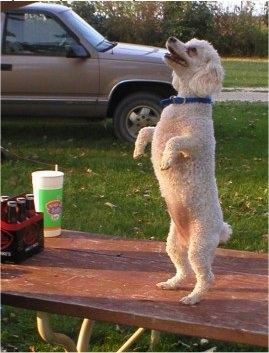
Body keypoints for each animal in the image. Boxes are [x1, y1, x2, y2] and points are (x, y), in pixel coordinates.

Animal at [133, 37, 231, 304]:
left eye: (192, 50)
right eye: (188, 42)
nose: (172, 39)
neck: (186, 102)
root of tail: (220, 229)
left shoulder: (197, 143)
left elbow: (174, 141)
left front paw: (166, 161)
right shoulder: (157, 131)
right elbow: (146, 131)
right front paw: (137, 150)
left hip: (199, 245)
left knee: (206, 277)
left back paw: (193, 298)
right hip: (174, 244)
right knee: (184, 269)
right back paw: (172, 283)